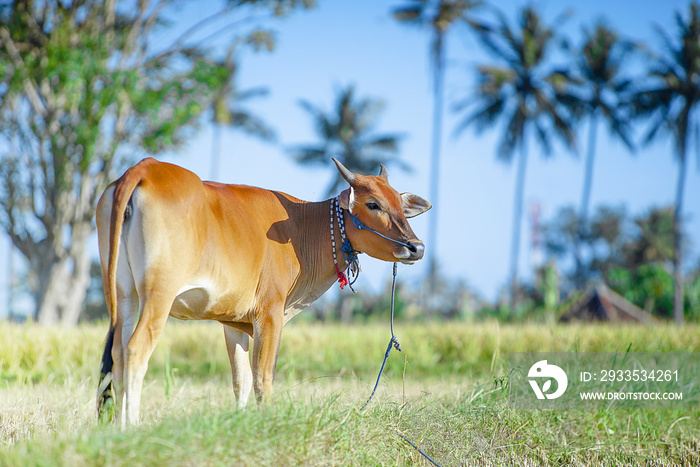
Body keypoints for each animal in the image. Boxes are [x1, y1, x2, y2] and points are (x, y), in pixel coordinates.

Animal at [95, 158, 430, 428]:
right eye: (373, 204)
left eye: (400, 205)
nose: (417, 247)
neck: (301, 227)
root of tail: (144, 168)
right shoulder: (269, 314)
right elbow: (263, 377)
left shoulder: (233, 323)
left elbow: (241, 381)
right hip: (158, 295)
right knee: (136, 350)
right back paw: (132, 426)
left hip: (124, 295)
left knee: (118, 353)